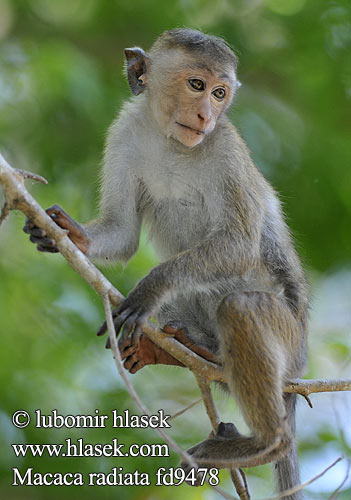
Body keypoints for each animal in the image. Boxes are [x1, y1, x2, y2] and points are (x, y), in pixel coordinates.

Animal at [24, 29, 310, 498]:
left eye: (220, 92)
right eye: (197, 85)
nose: (205, 113)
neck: (171, 143)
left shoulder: (226, 147)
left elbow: (240, 247)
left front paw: (151, 286)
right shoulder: (124, 132)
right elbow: (122, 232)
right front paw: (67, 232)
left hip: (292, 344)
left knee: (241, 307)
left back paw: (267, 442)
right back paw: (180, 350)